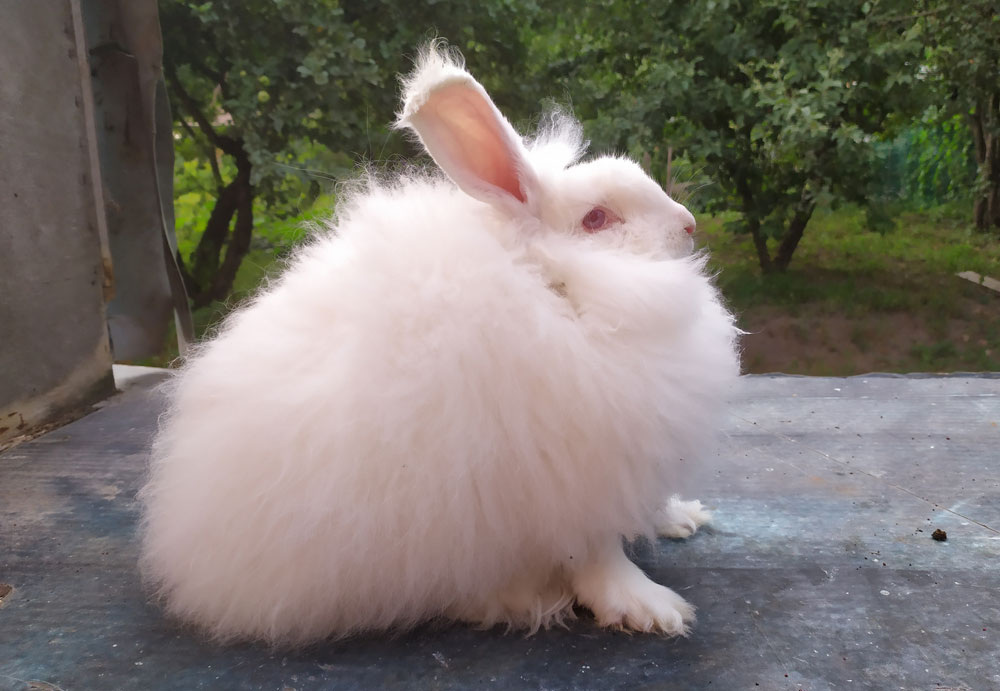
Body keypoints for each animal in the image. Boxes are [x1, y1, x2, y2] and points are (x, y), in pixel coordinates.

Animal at [138, 41, 741, 647]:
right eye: (597, 219)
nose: (688, 224)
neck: (559, 288)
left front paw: (678, 517)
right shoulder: (571, 490)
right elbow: (599, 559)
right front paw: (652, 609)